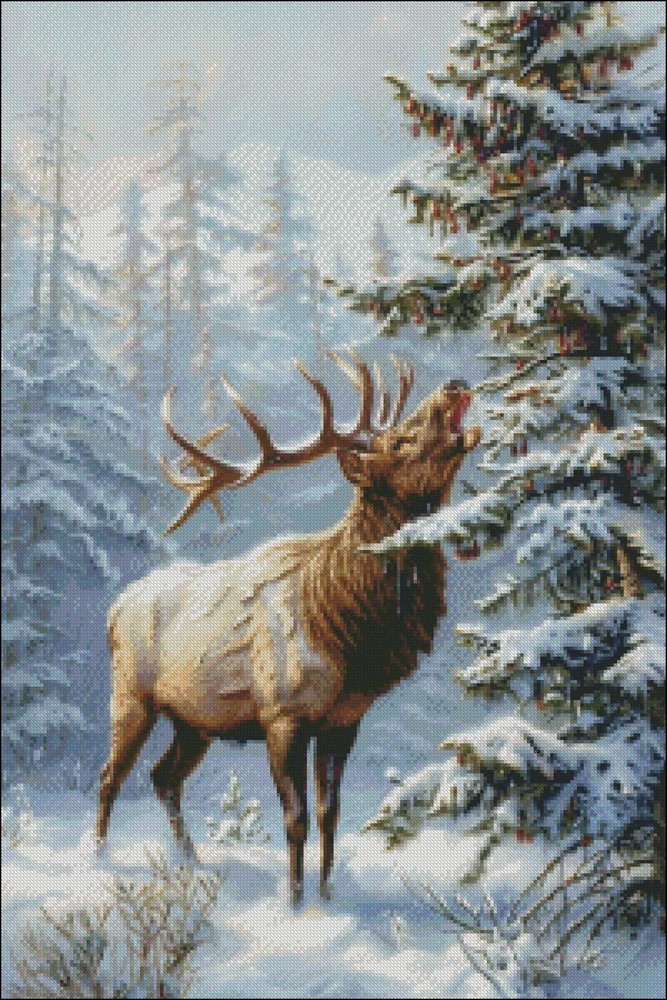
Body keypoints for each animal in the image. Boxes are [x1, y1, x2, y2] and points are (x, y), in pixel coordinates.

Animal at [96, 351, 480, 905]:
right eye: (400, 442)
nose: (453, 384)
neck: (347, 631)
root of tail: (114, 607)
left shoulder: (344, 720)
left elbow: (329, 814)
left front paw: (327, 895)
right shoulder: (282, 715)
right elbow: (296, 819)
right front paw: (294, 903)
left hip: (194, 721)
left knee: (163, 776)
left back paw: (191, 862)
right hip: (131, 697)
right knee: (111, 777)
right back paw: (98, 858)